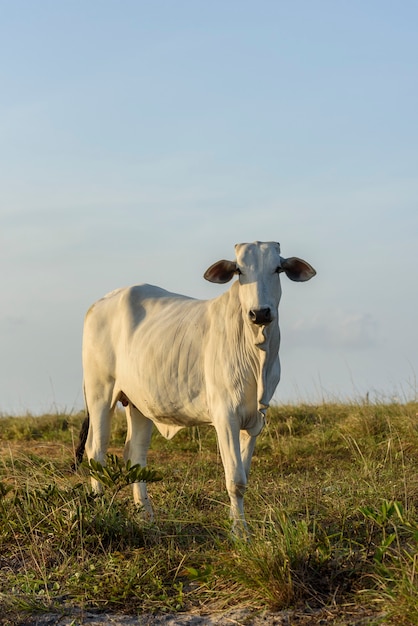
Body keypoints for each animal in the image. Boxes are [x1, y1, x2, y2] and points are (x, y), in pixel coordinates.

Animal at [75, 241, 316, 528]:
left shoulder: (256, 419)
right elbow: (235, 480)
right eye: (239, 271)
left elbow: (243, 475)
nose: (260, 313)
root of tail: (98, 303)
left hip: (138, 403)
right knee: (96, 452)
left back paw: (145, 515)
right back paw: (101, 508)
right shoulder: (225, 416)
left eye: (278, 268)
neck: (257, 353)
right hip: (100, 394)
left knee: (135, 455)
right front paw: (239, 531)